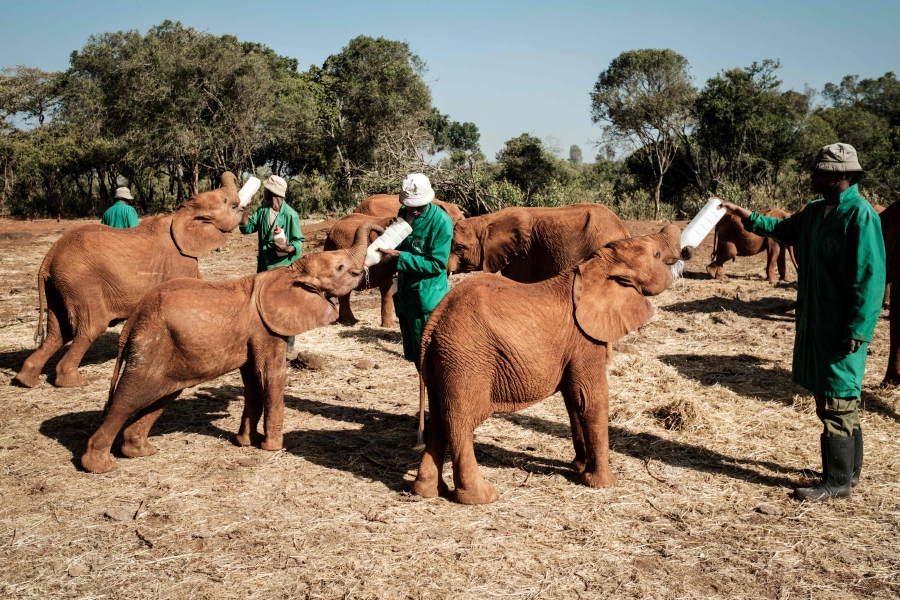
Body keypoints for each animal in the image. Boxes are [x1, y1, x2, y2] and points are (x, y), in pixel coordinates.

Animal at [81, 221, 384, 474]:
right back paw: (100, 467)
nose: (382, 230)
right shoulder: (267, 330)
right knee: (127, 398)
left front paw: (246, 442)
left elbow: (252, 382)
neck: (289, 274)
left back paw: (142, 452)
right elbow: (271, 377)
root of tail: (132, 321)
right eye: (340, 268)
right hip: (151, 346)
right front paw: (273, 447)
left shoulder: (253, 335)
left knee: (163, 395)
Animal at [414, 227, 684, 504]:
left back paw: (427, 492)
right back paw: (483, 497)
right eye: (657, 254)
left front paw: (578, 468)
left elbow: (574, 399)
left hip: (443, 362)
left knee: (438, 419)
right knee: (460, 422)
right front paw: (603, 484)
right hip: (466, 360)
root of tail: (433, 322)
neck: (594, 266)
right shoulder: (584, 338)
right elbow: (591, 397)